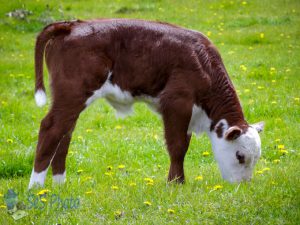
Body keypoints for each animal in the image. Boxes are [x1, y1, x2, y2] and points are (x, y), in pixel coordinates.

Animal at [28, 18, 262, 188]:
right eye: (240, 156)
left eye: (256, 158)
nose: (243, 185)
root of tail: (71, 25)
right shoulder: (177, 102)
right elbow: (178, 146)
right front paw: (176, 183)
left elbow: (183, 144)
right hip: (72, 94)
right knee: (51, 128)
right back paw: (37, 188)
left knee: (64, 133)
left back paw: (59, 184)